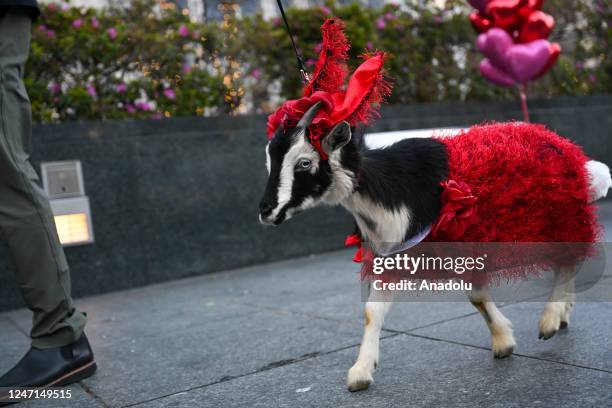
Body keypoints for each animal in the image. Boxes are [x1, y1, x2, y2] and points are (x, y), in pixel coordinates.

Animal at [258, 100, 612, 390]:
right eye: (269, 163)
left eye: (304, 163)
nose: (266, 211)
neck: (394, 189)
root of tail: (564, 145)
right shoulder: (393, 254)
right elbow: (372, 312)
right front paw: (361, 371)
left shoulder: (465, 240)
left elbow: (477, 296)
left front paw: (503, 341)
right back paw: (562, 313)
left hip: (560, 216)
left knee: (568, 260)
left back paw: (550, 319)